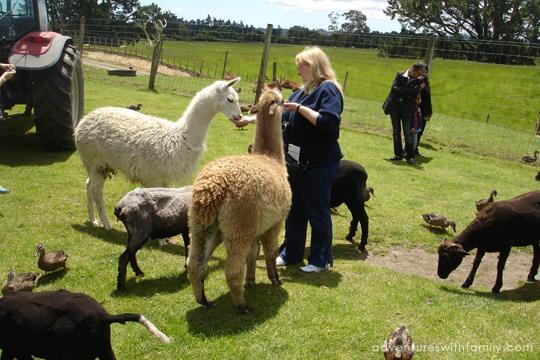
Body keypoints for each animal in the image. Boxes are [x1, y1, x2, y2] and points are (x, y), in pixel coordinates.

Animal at [189, 88, 292, 314]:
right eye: (281, 100)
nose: (288, 101)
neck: (272, 160)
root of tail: (214, 186)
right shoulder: (276, 222)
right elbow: (270, 251)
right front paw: (275, 279)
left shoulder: (257, 227)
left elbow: (253, 254)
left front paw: (252, 281)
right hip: (239, 224)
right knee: (232, 269)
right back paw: (242, 305)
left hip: (202, 225)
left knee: (195, 264)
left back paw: (204, 300)